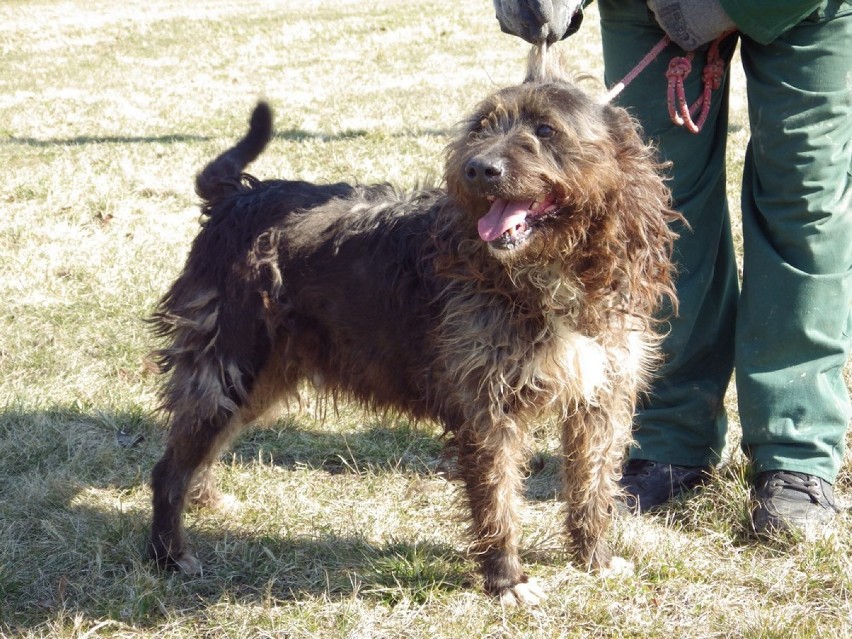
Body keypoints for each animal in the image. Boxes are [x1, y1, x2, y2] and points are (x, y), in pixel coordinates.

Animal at [148, 53, 680, 604]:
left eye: (546, 129)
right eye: (481, 126)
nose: (478, 168)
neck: (550, 272)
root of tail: (236, 199)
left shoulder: (602, 397)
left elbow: (591, 486)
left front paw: (594, 558)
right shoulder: (487, 408)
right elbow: (499, 500)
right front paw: (507, 579)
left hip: (265, 376)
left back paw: (204, 499)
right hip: (227, 364)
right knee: (169, 466)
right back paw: (169, 553)